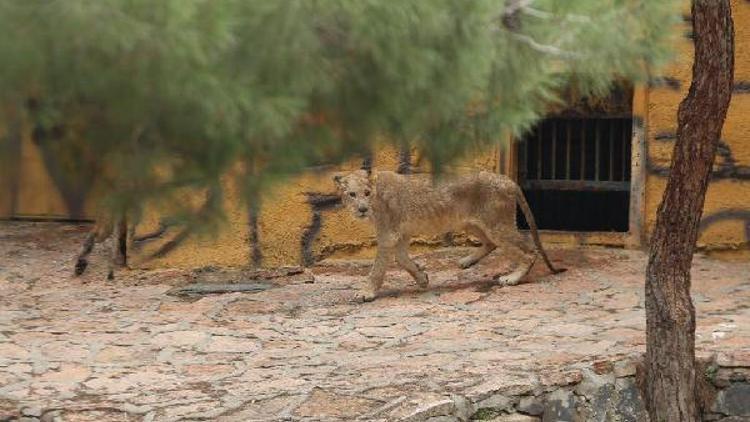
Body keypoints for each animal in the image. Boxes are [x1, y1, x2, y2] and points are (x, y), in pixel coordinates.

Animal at [334, 170, 564, 302]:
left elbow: (377, 269)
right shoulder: (399, 236)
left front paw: (366, 292)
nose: (362, 209)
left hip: (497, 224)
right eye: (352, 194)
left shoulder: (388, 235)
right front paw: (422, 278)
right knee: (492, 243)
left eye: (366, 193)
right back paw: (466, 261)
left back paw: (512, 278)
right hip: (471, 222)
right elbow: (403, 260)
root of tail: (507, 180)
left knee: (528, 251)